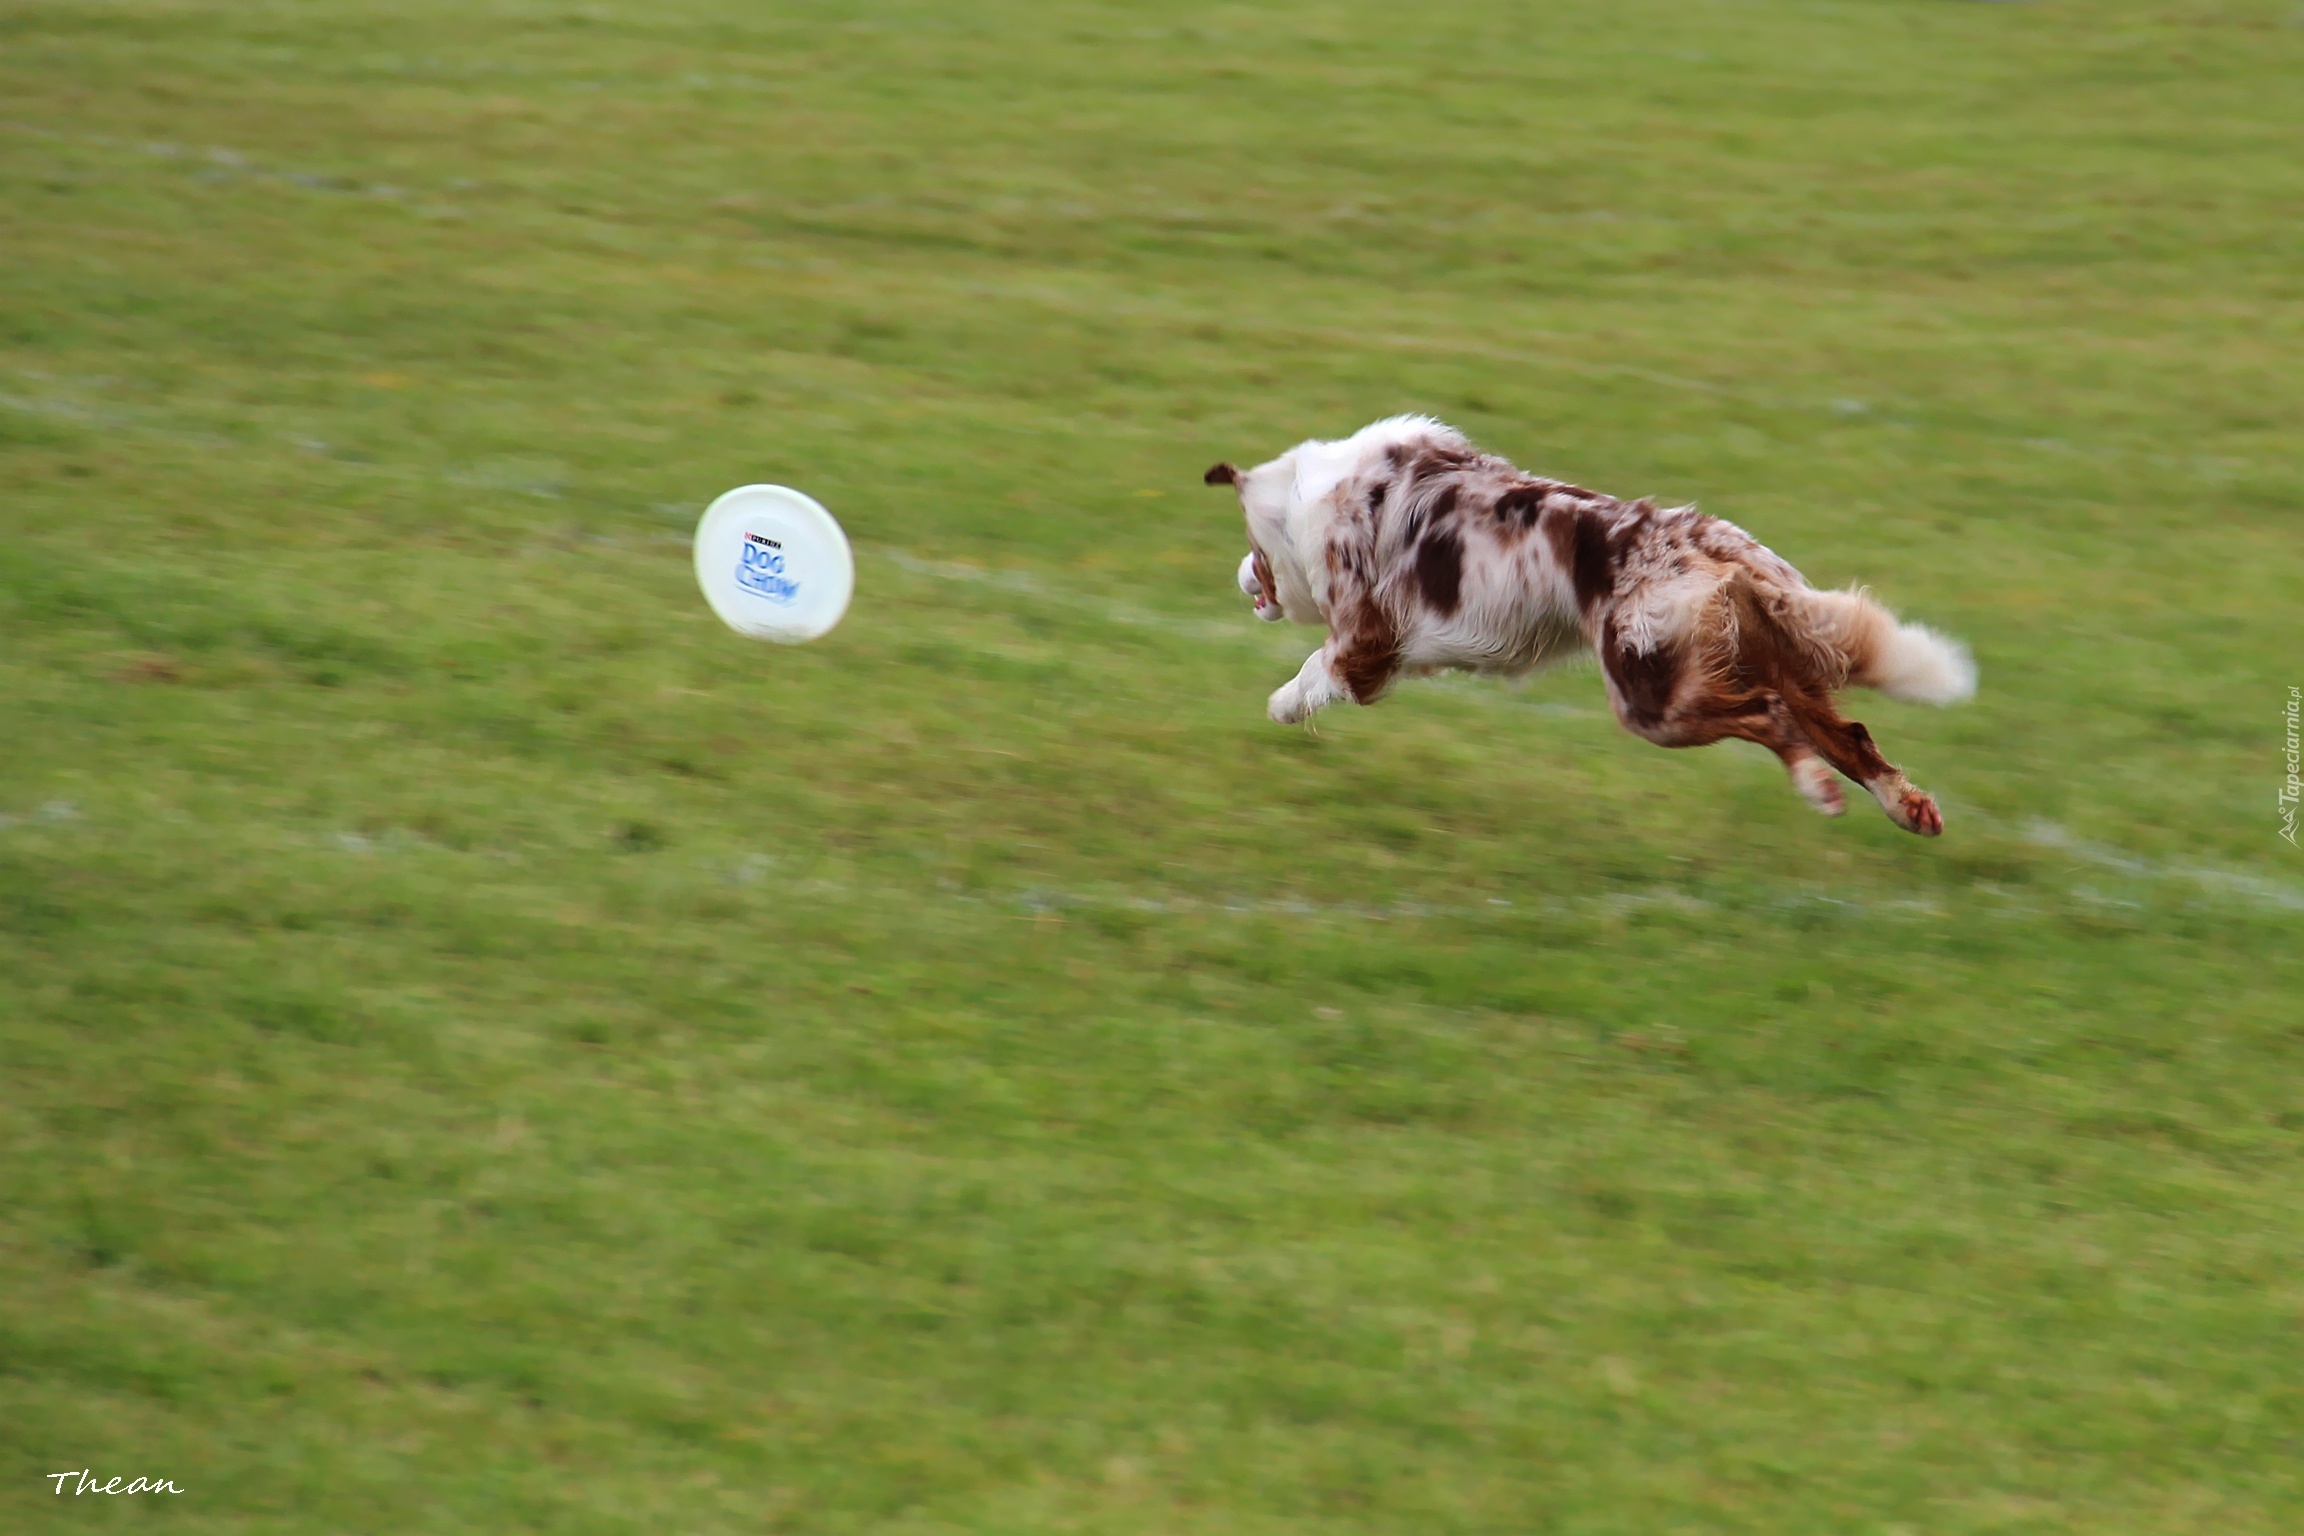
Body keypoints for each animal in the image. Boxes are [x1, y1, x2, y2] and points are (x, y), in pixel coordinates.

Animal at [1207, 414, 1981, 833]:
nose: (1241, 577)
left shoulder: (1367, 640)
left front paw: (1283, 706)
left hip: (1649, 695)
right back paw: (1909, 810)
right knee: (1848, 734)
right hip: (1754, 661)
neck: (1308, 497)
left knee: (1771, 718)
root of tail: (1710, 544)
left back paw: (1818, 790)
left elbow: (1316, 670)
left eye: (1251, 548)